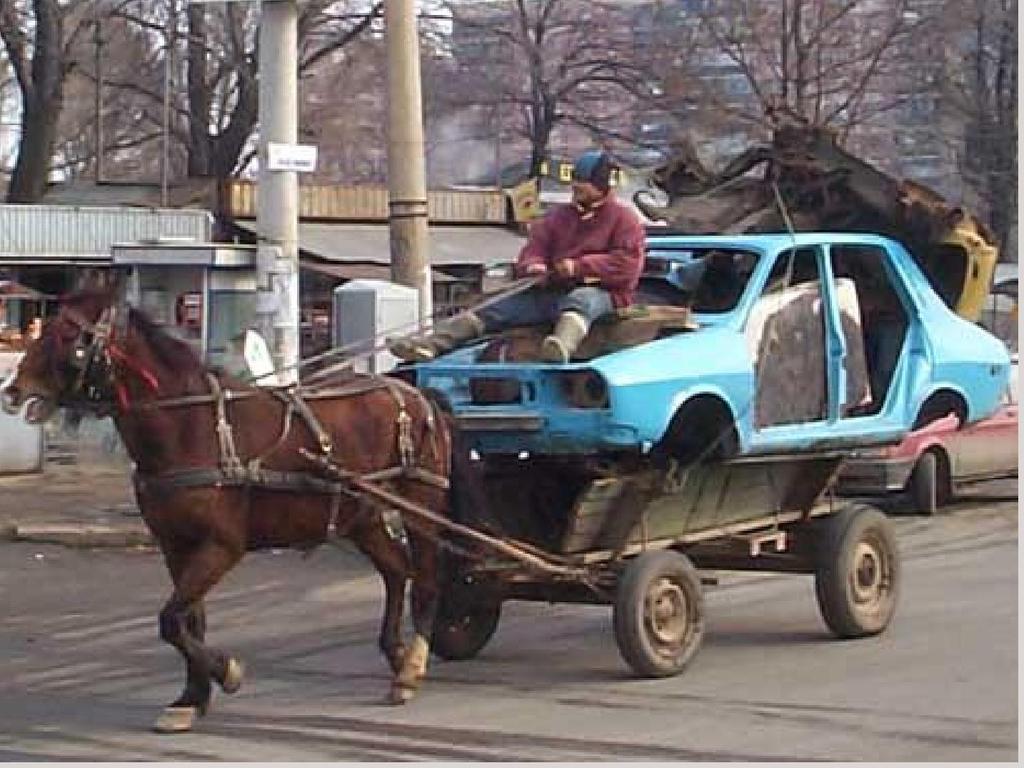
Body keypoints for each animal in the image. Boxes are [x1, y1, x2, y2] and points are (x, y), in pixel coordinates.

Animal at [0, 288, 456, 733]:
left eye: (67, 336)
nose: (12, 390)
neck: (192, 426)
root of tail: (415, 394)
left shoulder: (222, 546)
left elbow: (171, 620)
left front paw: (226, 671)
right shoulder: (176, 546)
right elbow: (189, 620)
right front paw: (191, 697)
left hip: (420, 503)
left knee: (427, 578)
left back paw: (411, 666)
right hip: (362, 515)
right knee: (396, 571)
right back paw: (396, 655)